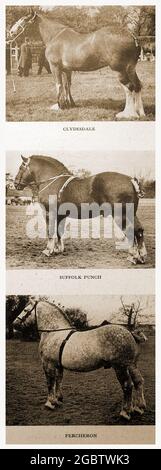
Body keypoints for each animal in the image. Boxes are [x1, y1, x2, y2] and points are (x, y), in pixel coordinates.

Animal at [7, 8, 145, 118]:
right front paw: (70, 104)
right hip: (131, 68)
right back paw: (140, 113)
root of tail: (131, 35)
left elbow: (58, 85)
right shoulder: (67, 70)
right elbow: (67, 85)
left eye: (24, 19)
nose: (11, 32)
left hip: (119, 69)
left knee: (129, 87)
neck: (55, 36)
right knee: (137, 85)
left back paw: (128, 114)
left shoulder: (55, 67)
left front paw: (59, 106)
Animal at [13, 298, 147, 418]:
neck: (54, 333)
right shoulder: (58, 365)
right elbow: (58, 380)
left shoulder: (48, 364)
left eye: (25, 310)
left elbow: (50, 382)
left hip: (120, 367)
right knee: (138, 381)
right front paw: (58, 399)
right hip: (131, 365)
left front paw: (50, 403)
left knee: (127, 385)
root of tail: (129, 332)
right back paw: (139, 408)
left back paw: (125, 412)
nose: (14, 324)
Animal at [14, 154, 147, 264]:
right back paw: (141, 256)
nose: (15, 184)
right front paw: (58, 249)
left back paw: (133, 256)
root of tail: (130, 180)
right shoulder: (60, 215)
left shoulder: (48, 213)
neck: (53, 181)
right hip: (131, 214)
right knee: (139, 230)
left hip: (120, 215)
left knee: (131, 231)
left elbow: (50, 231)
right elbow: (59, 232)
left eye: (21, 168)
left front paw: (48, 250)